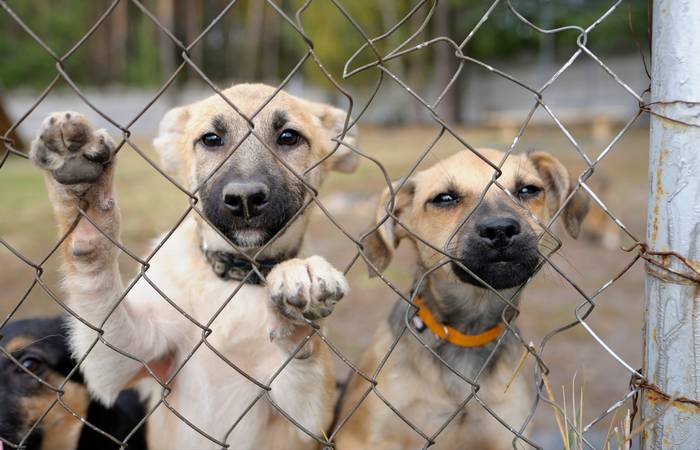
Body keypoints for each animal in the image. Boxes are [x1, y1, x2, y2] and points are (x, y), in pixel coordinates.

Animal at [28, 83, 358, 446]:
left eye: (289, 137)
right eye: (211, 139)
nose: (245, 199)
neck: (237, 277)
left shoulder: (309, 420)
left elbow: (305, 360)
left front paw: (299, 293)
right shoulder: (122, 357)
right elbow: (98, 285)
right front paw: (83, 200)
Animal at [336, 149, 588, 448]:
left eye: (528, 190)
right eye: (444, 198)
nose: (500, 229)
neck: (466, 334)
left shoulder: (509, 434)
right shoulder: (363, 436)